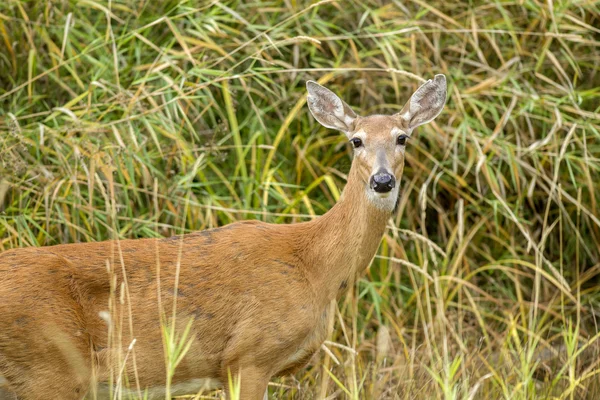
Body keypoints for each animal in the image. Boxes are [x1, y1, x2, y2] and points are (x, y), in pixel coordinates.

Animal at [0, 75, 446, 400]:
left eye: (402, 137)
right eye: (356, 141)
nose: (383, 180)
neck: (314, 267)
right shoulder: (248, 356)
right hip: (50, 366)